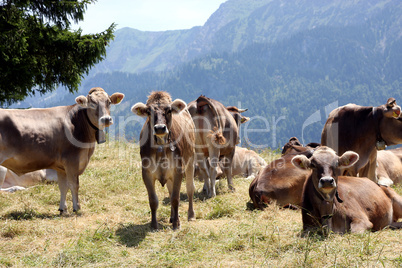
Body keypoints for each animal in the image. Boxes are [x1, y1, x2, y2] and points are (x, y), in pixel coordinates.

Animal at [132, 91, 195, 229]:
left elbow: (175, 198)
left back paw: (191, 215)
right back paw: (172, 217)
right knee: (170, 191)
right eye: (149, 111)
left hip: (191, 160)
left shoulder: (178, 170)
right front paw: (154, 224)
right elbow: (153, 200)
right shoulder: (146, 173)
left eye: (169, 110)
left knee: (189, 188)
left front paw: (176, 224)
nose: (160, 128)